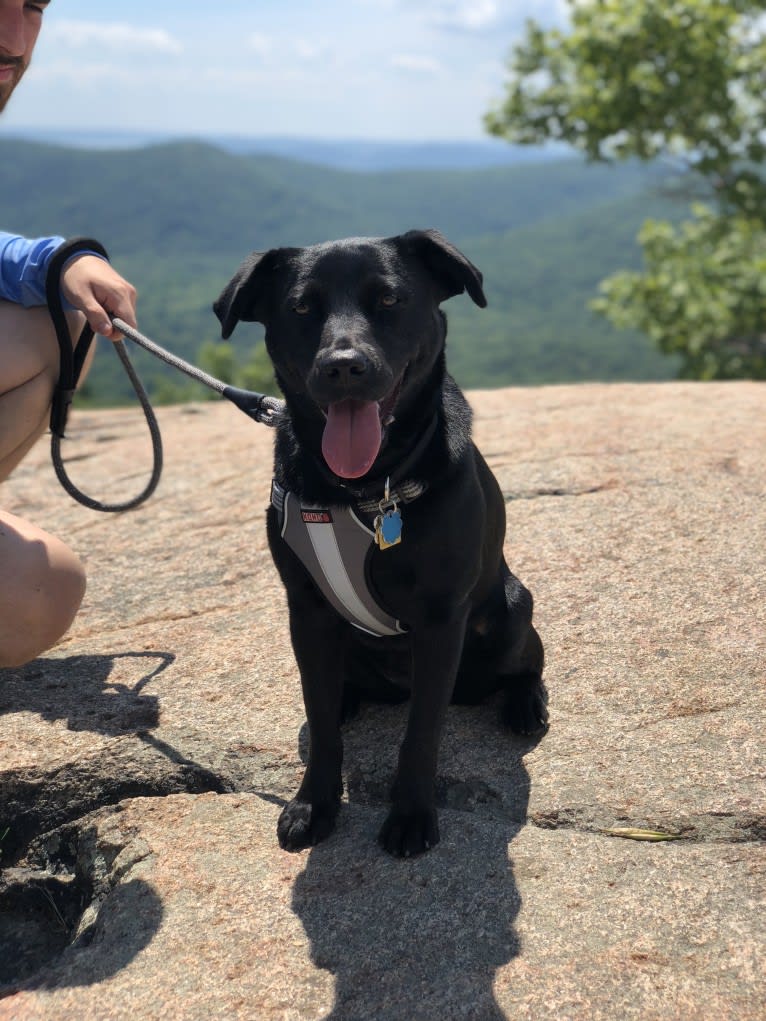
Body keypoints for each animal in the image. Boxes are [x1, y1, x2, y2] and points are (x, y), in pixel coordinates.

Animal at [216, 229, 547, 853]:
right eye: (301, 307)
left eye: (390, 299)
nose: (343, 367)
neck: (365, 489)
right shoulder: (308, 611)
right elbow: (321, 721)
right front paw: (313, 804)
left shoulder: (441, 619)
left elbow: (421, 732)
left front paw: (412, 815)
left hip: (514, 608)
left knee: (527, 663)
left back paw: (523, 705)